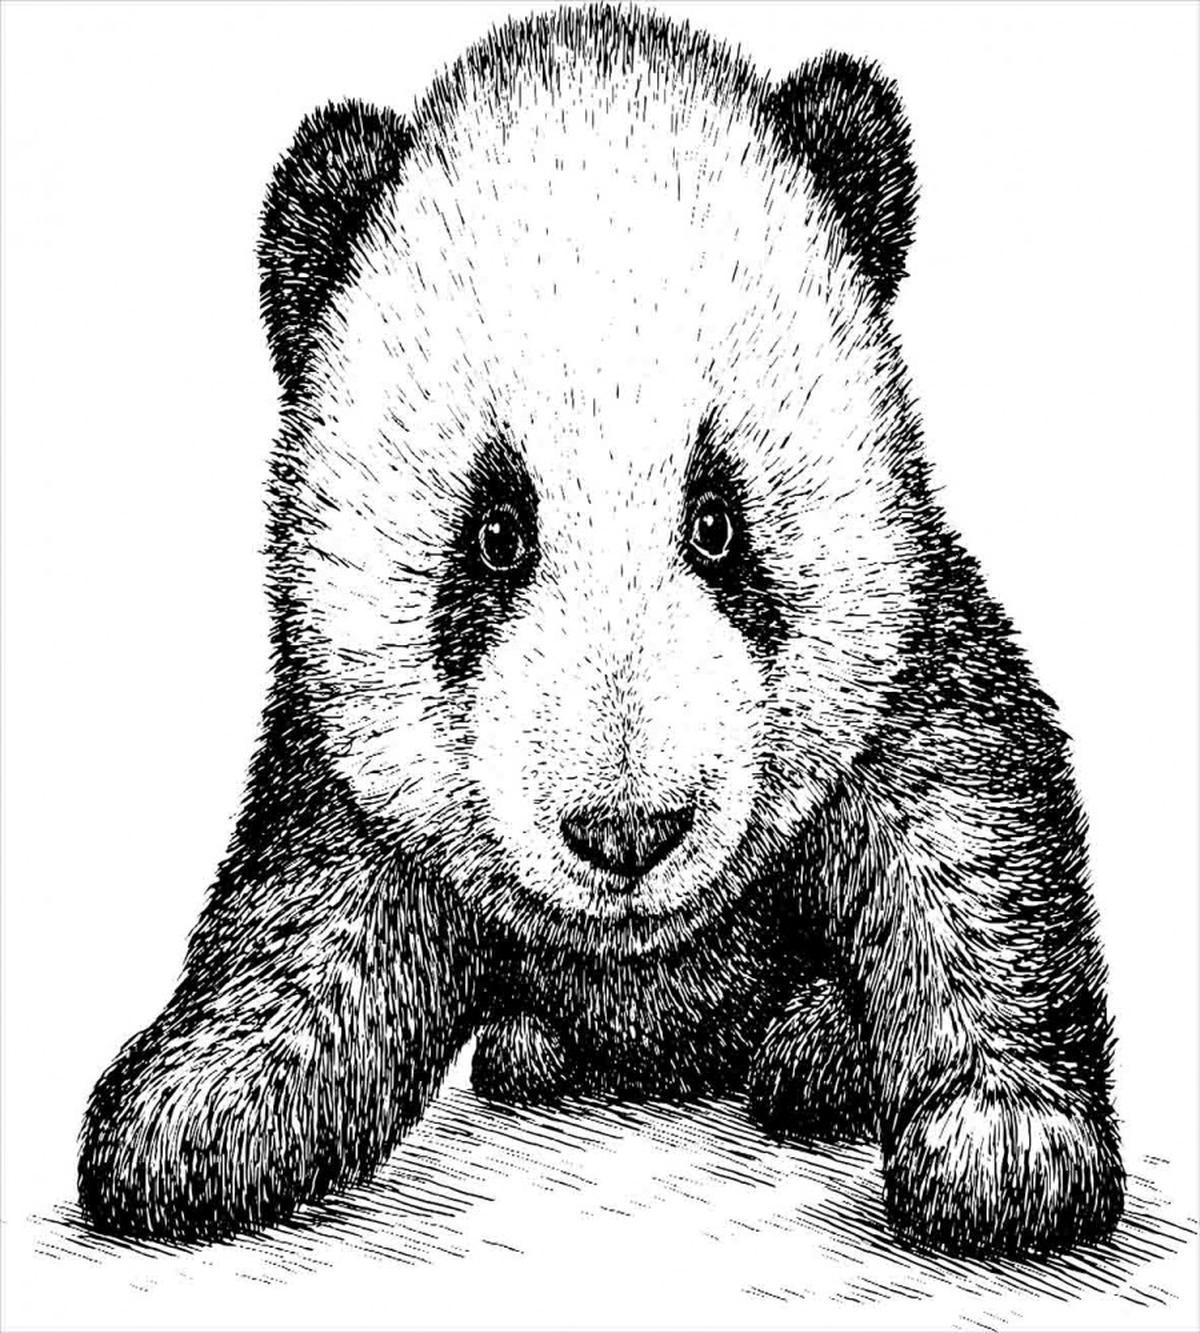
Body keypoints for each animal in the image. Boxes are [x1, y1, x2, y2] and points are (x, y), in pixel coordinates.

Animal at [78, 4, 1123, 1258]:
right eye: (497, 534)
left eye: (718, 522)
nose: (628, 831)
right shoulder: (359, 757)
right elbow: (316, 916)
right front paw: (193, 1114)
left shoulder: (899, 649)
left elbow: (964, 839)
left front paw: (1003, 1147)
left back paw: (817, 1047)